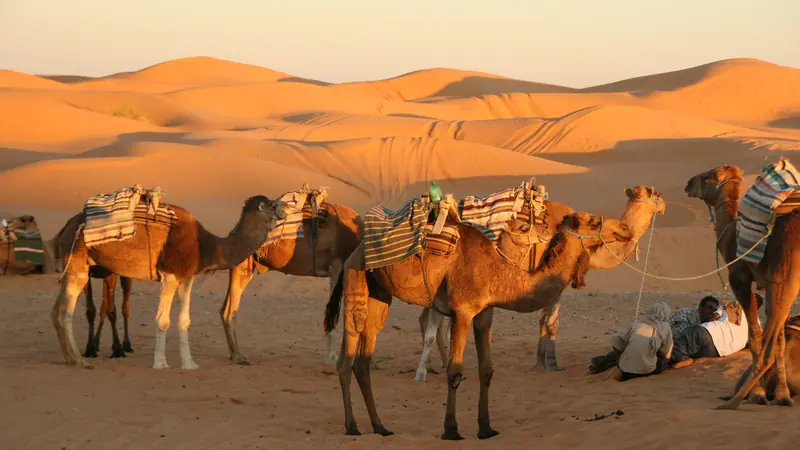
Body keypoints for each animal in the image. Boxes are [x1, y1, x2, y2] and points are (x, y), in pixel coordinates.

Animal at [51, 192, 286, 370]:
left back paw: (69, 358)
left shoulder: (187, 277)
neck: (206, 246)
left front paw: (189, 364)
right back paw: (81, 360)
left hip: (73, 265)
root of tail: (66, 228)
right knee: (65, 312)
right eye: (271, 205)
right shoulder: (169, 275)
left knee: (56, 311)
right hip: (78, 263)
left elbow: (184, 320)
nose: (284, 211)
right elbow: (162, 320)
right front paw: (160, 363)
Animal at [219, 200, 363, 365]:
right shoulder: (336, 268)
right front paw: (332, 358)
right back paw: (238, 357)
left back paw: (234, 354)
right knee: (229, 309)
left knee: (226, 307)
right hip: (242, 266)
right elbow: (335, 314)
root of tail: (234, 231)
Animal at [324, 210, 634, 439]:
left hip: (379, 293)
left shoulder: (485, 313)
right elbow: (455, 370)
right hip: (356, 278)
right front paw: (451, 430)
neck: (499, 273)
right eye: (593, 221)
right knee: (348, 351)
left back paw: (380, 427)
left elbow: (486, 371)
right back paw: (352, 427)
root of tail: (355, 251)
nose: (626, 229)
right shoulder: (462, 311)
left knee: (365, 354)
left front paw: (486, 428)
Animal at [414, 186, 666, 381]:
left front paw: (541, 362)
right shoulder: (553, 279)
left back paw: (437, 367)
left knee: (430, 320)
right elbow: (551, 322)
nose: (626, 229)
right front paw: (552, 365)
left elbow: (545, 321)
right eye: (655, 194)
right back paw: (428, 371)